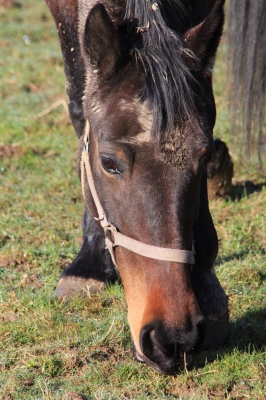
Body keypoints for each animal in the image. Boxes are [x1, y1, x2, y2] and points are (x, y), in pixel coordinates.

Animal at [44, 0, 229, 376]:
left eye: (204, 159)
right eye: (108, 163)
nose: (173, 337)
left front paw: (208, 289)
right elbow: (77, 101)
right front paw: (88, 266)